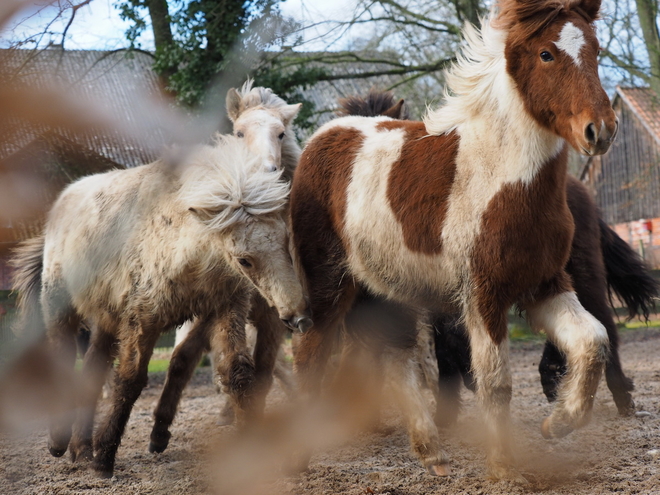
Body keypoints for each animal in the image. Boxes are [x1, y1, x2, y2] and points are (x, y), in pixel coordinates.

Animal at [10, 134, 310, 478]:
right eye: (245, 260)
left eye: (287, 245)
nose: (298, 317)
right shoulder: (143, 320)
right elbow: (130, 381)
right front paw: (105, 458)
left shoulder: (224, 310)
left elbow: (236, 374)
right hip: (61, 308)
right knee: (63, 360)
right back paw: (61, 442)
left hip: (106, 321)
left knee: (92, 372)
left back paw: (81, 448)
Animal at [288, 0, 620, 482]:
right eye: (546, 54)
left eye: (596, 50)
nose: (600, 131)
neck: (502, 181)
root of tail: (322, 137)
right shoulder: (483, 298)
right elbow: (496, 383)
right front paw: (504, 468)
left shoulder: (545, 285)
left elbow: (593, 342)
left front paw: (558, 422)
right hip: (329, 286)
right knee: (310, 355)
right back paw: (296, 457)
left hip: (386, 289)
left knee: (396, 360)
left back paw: (430, 451)